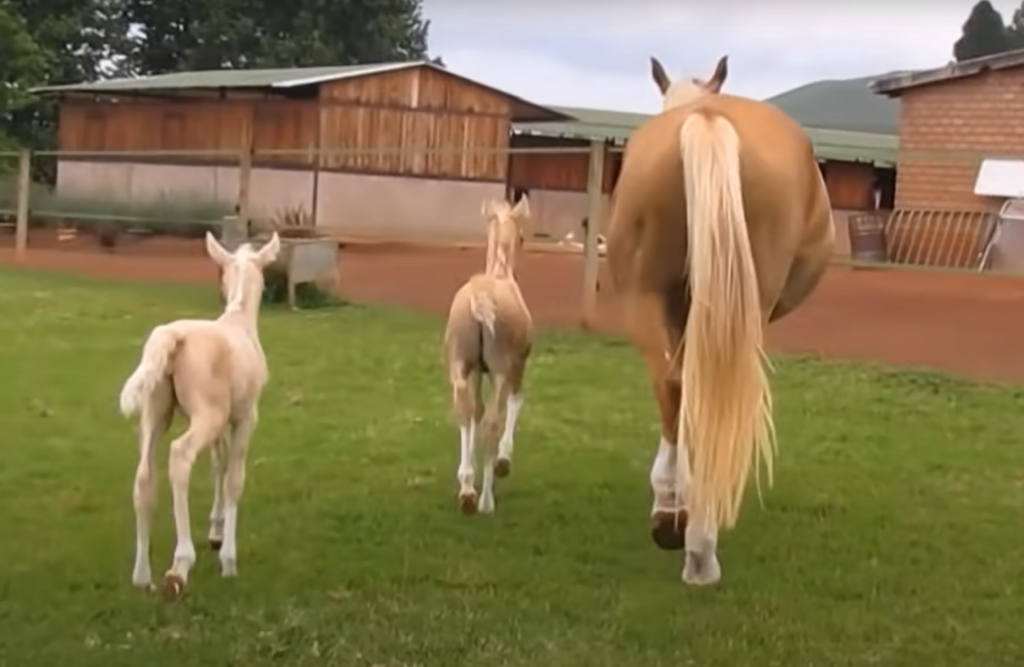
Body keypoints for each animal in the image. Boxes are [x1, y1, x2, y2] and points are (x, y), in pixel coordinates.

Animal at [119, 231, 281, 600]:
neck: (239, 319)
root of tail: (172, 338)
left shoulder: (225, 421)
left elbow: (218, 466)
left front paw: (216, 533)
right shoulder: (245, 416)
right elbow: (234, 477)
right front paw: (229, 560)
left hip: (157, 410)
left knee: (144, 476)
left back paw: (142, 575)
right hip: (207, 414)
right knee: (180, 455)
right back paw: (179, 566)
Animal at [442, 196, 533, 515]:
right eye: (522, 236)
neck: (499, 272)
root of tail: (481, 298)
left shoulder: (475, 372)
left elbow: (476, 412)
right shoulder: (517, 367)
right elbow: (516, 403)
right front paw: (504, 463)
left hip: (459, 367)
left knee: (465, 413)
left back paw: (468, 490)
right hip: (501, 371)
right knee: (493, 422)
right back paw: (485, 501)